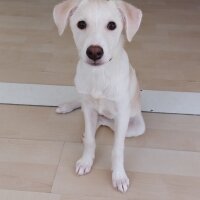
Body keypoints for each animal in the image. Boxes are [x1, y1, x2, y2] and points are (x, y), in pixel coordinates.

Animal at [53, 0, 145, 193]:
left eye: (112, 25)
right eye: (81, 24)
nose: (94, 52)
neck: (99, 74)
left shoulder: (122, 114)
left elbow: (117, 149)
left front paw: (119, 176)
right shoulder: (88, 108)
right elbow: (90, 140)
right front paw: (86, 161)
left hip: (135, 127)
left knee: (107, 122)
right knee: (90, 114)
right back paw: (68, 107)